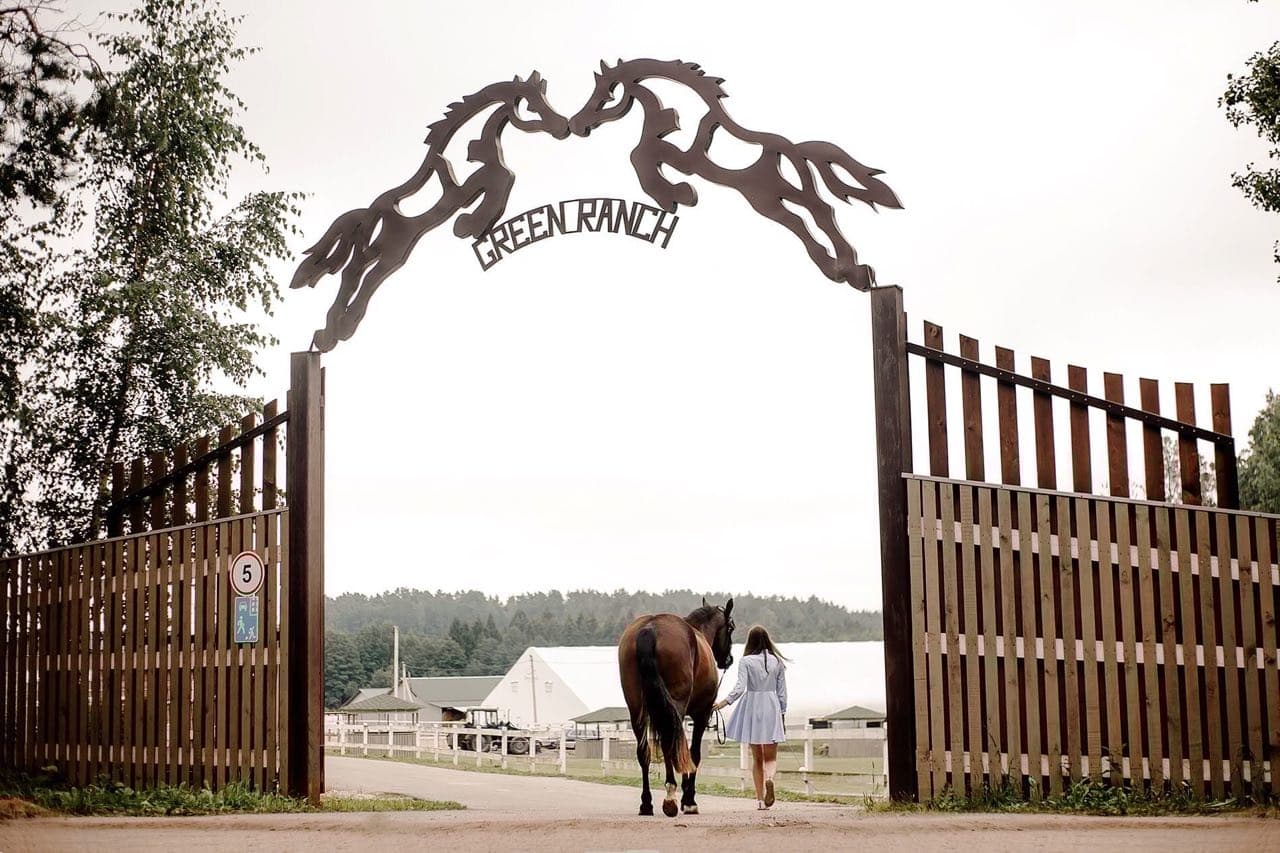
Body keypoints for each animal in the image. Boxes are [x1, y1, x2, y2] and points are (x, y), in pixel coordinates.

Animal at [290, 73, 570, 352]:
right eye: (531, 107)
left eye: (547, 101)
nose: (563, 126)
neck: (470, 149)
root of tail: (368, 213)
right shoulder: (461, 189)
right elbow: (502, 177)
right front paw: (468, 225)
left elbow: (503, 177)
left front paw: (469, 224)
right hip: (388, 250)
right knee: (355, 276)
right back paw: (336, 331)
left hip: (389, 251)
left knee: (357, 277)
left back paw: (329, 332)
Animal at [568, 59, 903, 291]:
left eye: (607, 96)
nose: (576, 125)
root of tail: (795, 151)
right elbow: (640, 157)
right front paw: (678, 193)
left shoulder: (679, 155)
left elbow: (638, 156)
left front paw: (677, 194)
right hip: (779, 196)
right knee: (818, 214)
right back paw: (854, 270)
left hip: (767, 197)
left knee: (812, 216)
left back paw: (845, 271)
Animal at [617, 597, 734, 817]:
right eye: (731, 627)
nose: (728, 660)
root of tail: (649, 628)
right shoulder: (701, 714)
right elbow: (694, 753)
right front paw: (689, 800)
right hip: (674, 707)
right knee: (669, 743)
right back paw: (670, 796)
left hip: (636, 709)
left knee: (643, 751)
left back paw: (646, 803)